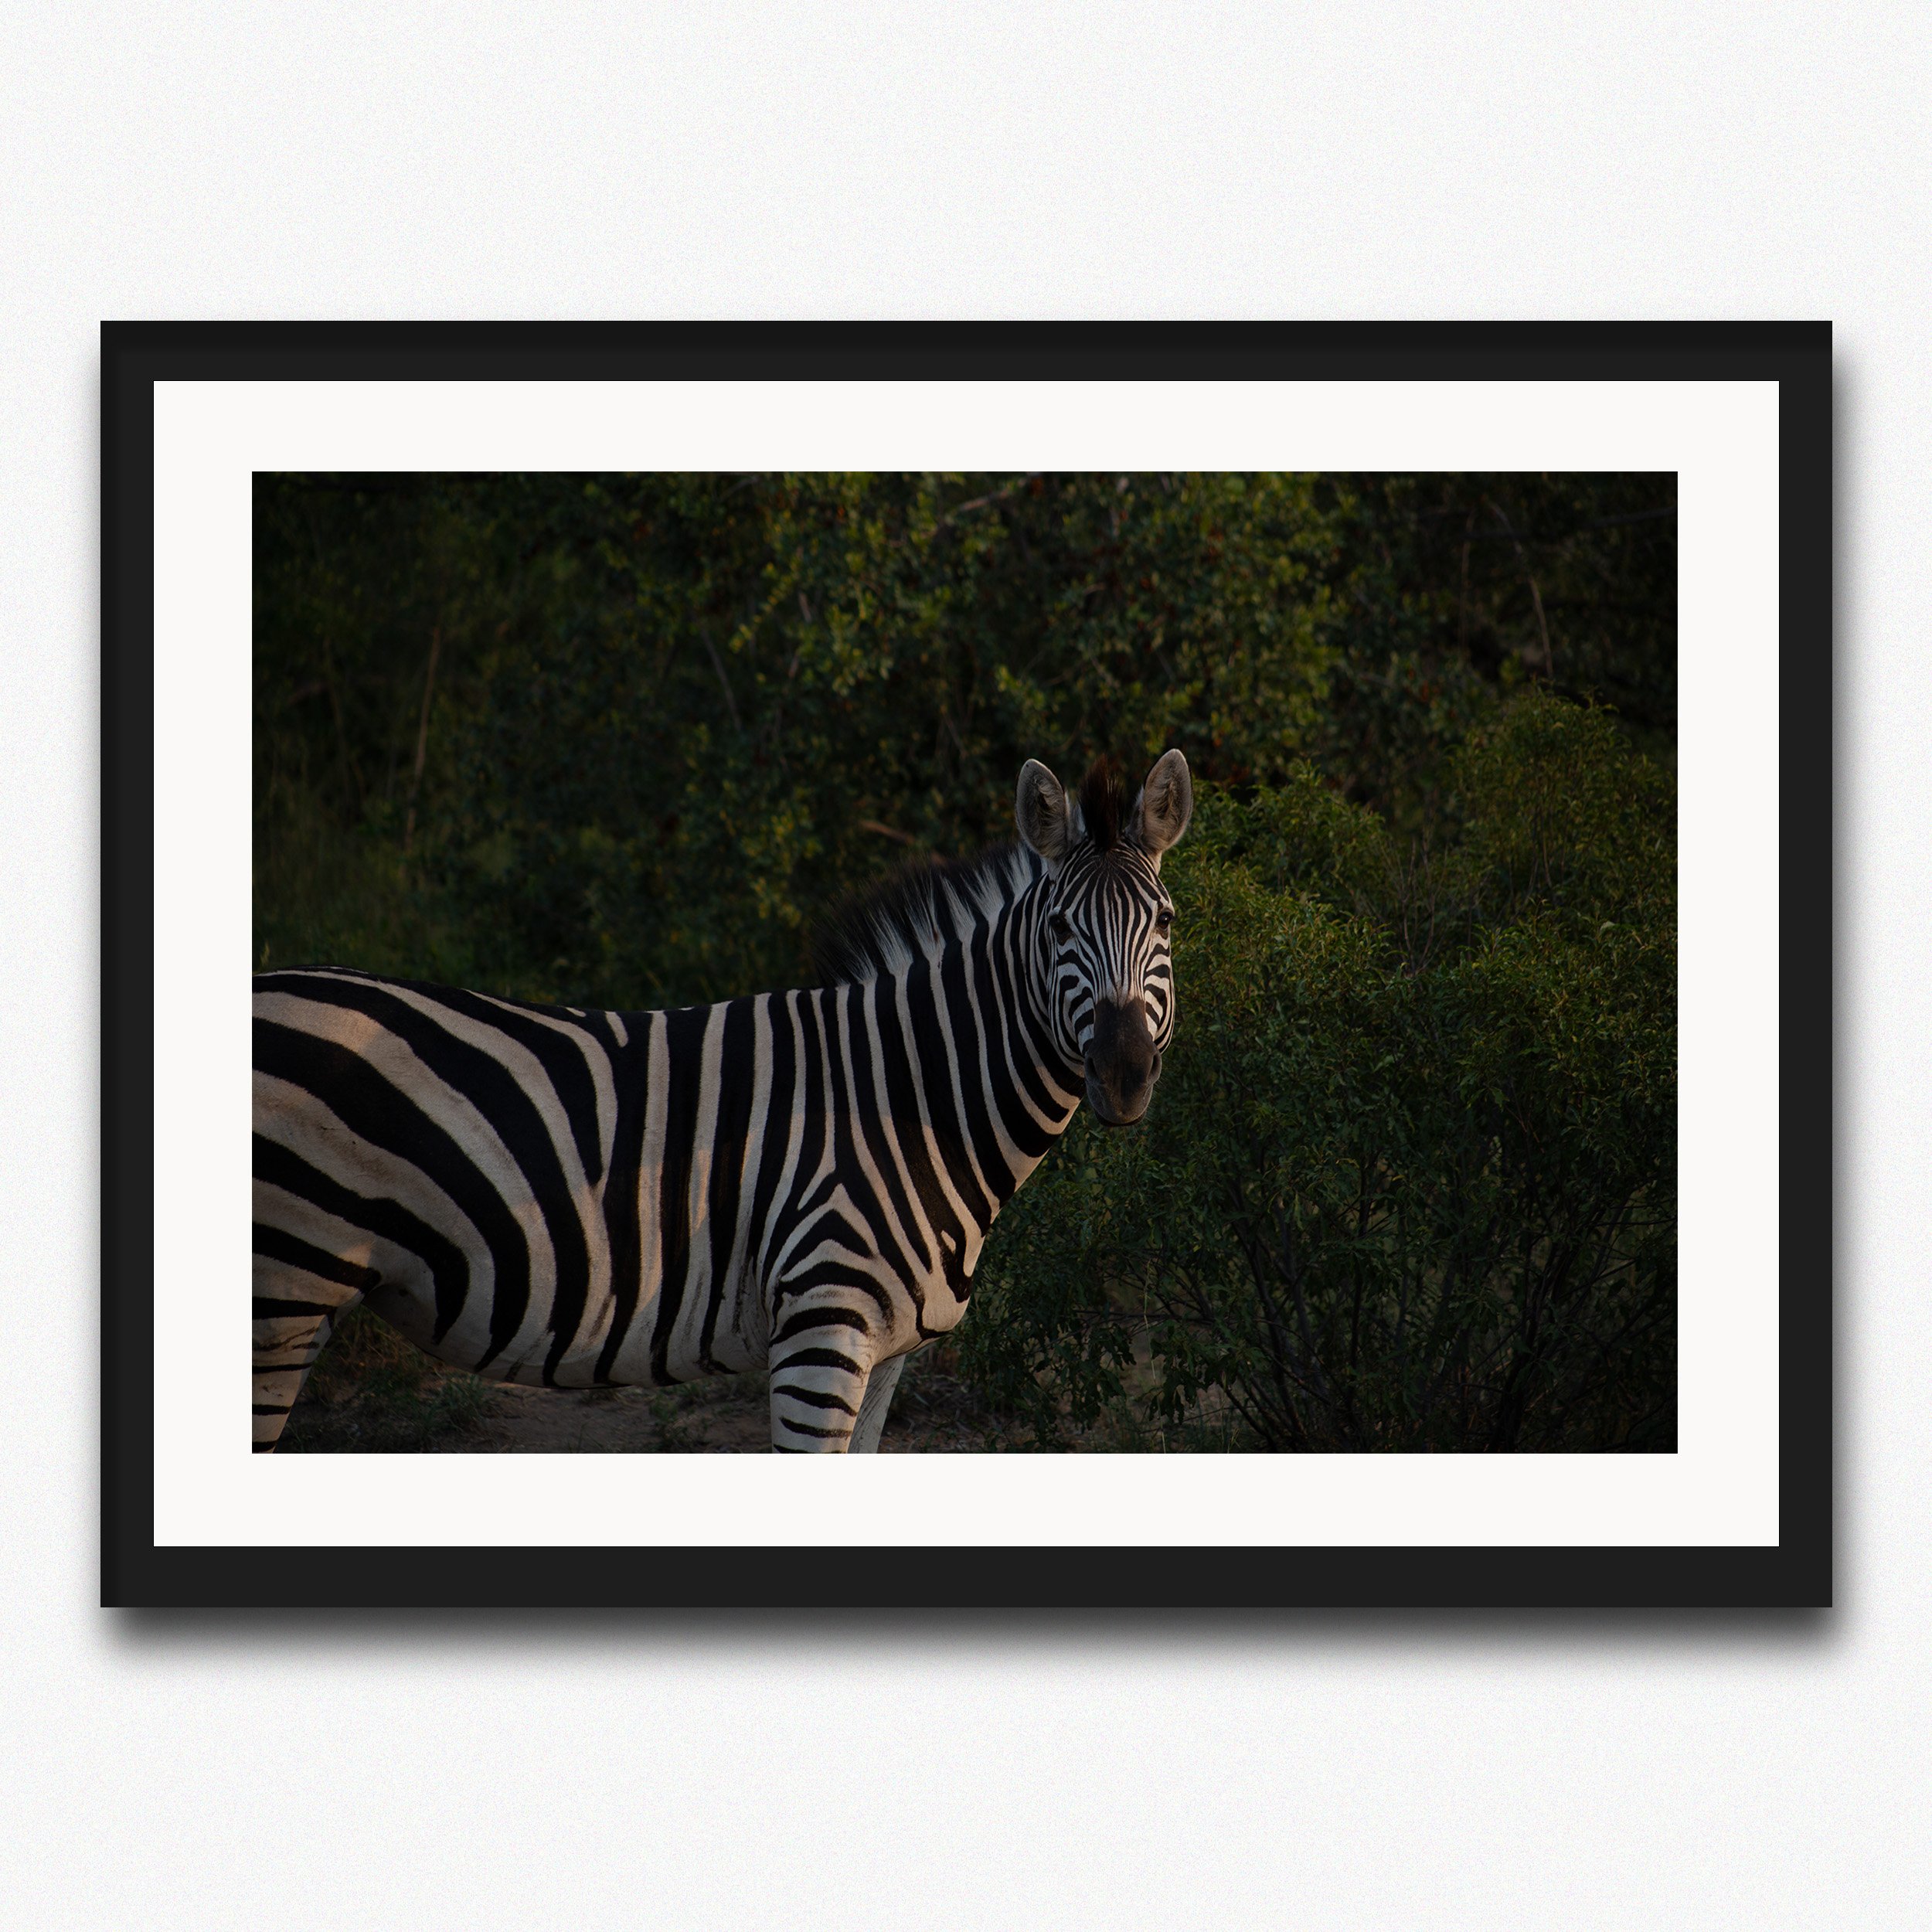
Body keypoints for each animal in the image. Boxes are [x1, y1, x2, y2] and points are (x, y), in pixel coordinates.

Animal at [252, 750, 1193, 1453]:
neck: (909, 1095)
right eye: (1060, 929)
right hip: (282, 1292)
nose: (1122, 1073)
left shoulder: (884, 1352)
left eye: (1168, 924)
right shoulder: (820, 1328)